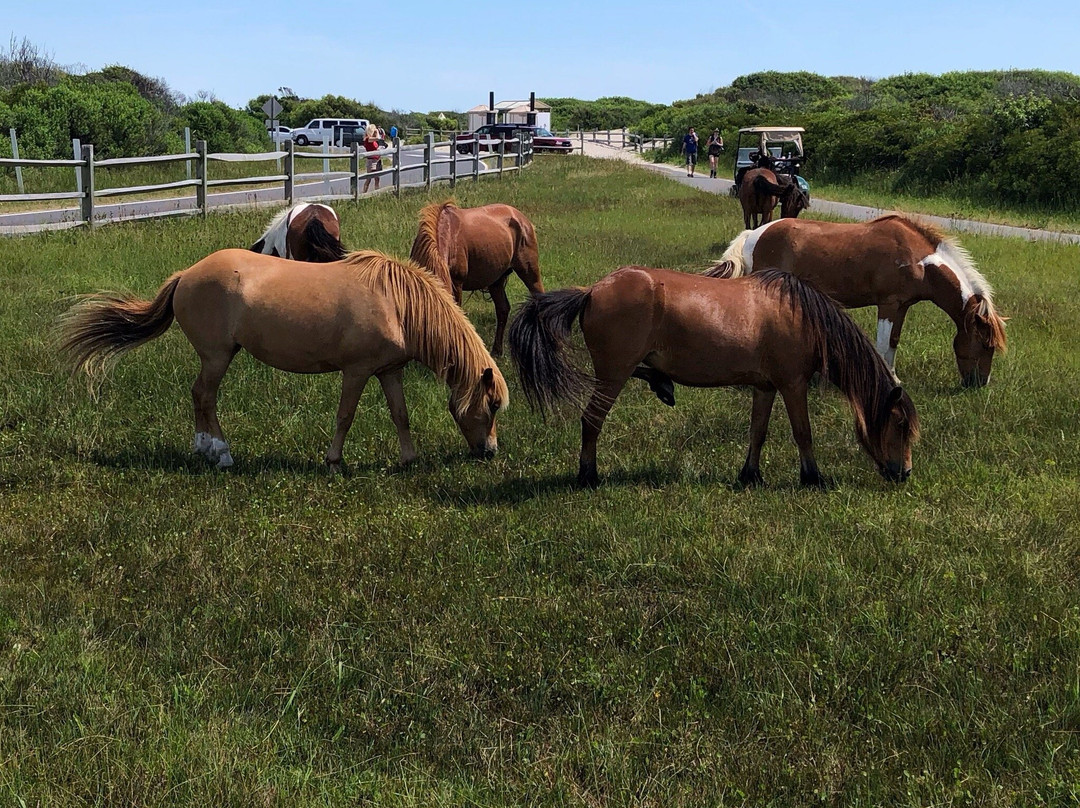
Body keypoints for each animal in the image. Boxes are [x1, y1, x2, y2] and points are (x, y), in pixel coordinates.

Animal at [61, 249, 507, 470]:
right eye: (491, 405)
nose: (490, 452)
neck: (396, 303)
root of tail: (186, 274)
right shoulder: (356, 371)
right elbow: (345, 416)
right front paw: (333, 461)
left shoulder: (388, 371)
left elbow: (401, 415)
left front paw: (408, 460)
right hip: (217, 357)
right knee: (204, 396)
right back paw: (220, 454)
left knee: (198, 397)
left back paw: (205, 450)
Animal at [408, 200, 544, 354]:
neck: (448, 234)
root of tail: (520, 217)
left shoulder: (457, 283)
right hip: (496, 281)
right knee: (503, 309)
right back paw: (497, 350)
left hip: (529, 272)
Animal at [507, 267, 920, 488]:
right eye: (899, 425)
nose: (904, 473)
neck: (803, 317)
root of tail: (592, 291)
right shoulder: (792, 384)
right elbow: (803, 432)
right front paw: (812, 478)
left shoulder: (766, 387)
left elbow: (758, 432)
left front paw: (750, 475)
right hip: (613, 374)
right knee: (591, 420)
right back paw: (588, 476)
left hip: (616, 370)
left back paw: (662, 384)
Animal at [704, 214, 1006, 388]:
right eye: (986, 344)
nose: (980, 384)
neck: (919, 260)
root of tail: (754, 234)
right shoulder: (888, 305)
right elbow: (883, 345)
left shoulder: (902, 306)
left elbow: (893, 341)